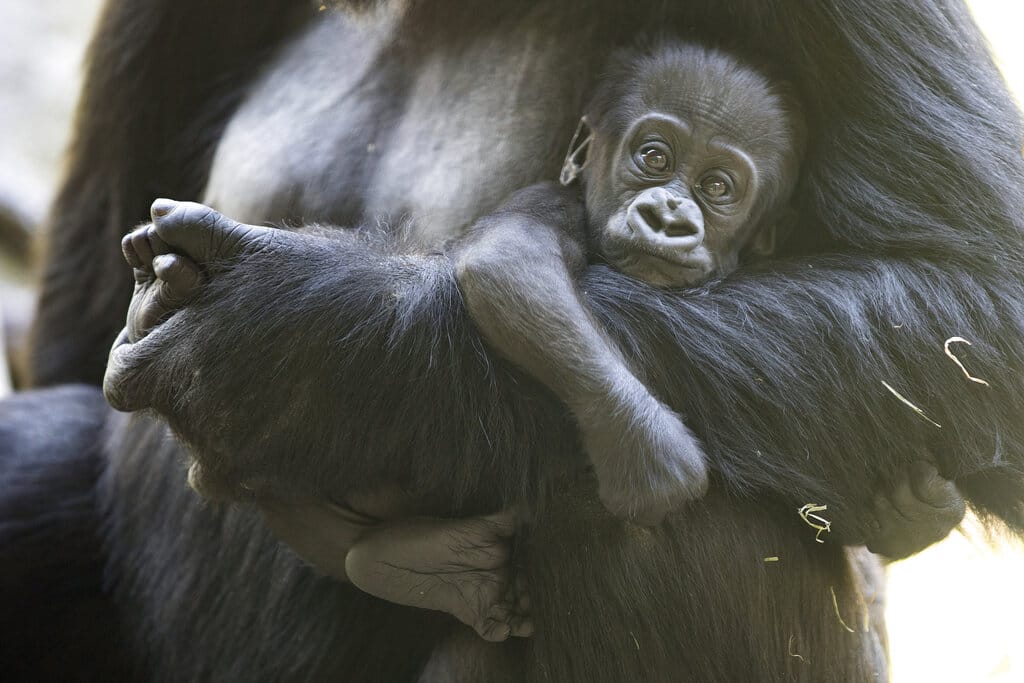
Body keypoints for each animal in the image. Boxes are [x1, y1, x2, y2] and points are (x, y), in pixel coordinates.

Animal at [12, 0, 1024, 679]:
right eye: (650, 156)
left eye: (721, 186)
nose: (670, 216)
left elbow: (979, 310)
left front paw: (303, 347)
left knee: (692, 527)